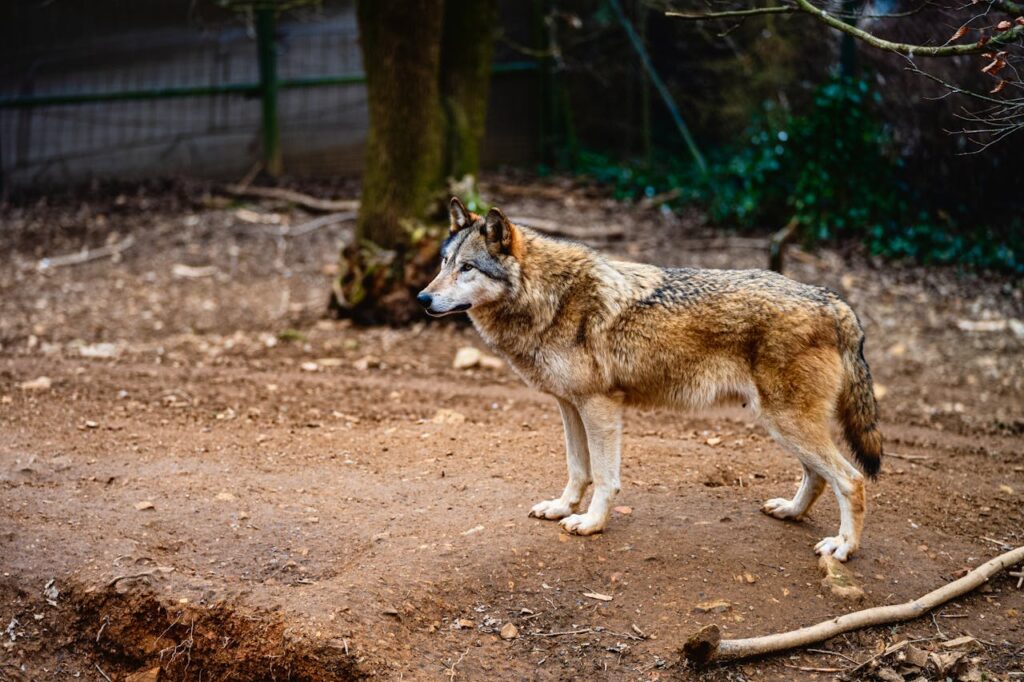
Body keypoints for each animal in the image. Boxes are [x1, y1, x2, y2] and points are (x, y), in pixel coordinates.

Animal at [419, 197, 883, 561]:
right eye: (443, 264)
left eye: (467, 268)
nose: (423, 298)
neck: (551, 298)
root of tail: (832, 300)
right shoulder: (568, 405)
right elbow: (577, 468)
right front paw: (563, 508)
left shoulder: (600, 406)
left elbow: (605, 478)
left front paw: (590, 523)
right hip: (781, 424)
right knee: (818, 476)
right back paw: (791, 512)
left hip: (785, 422)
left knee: (852, 480)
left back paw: (843, 547)